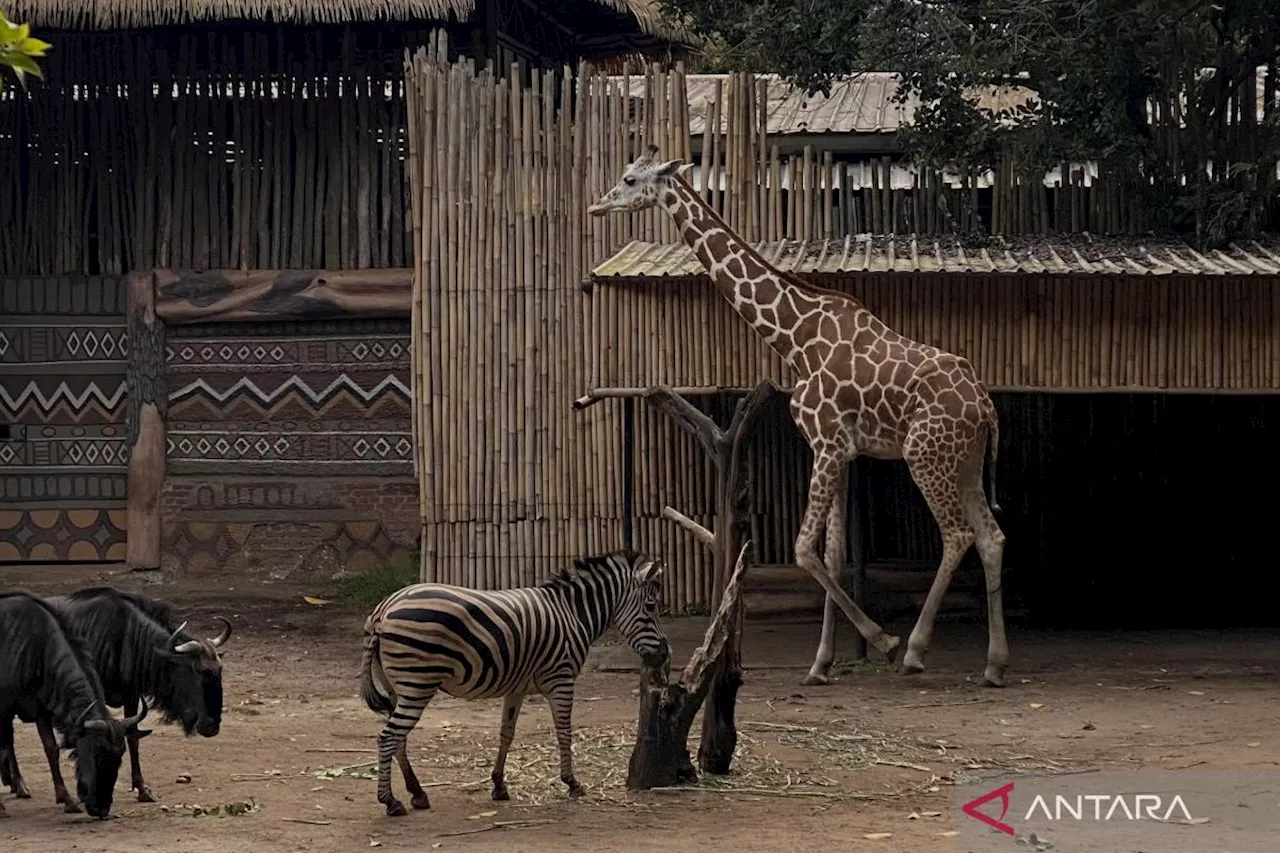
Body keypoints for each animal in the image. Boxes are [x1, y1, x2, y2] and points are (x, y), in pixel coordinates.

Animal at [353, 548, 665, 814]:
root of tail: (383, 609)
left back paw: (417, 793)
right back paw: (390, 802)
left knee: (399, 739)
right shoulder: (562, 679)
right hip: (418, 684)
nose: (664, 653)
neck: (573, 614)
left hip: (400, 687)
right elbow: (564, 732)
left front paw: (499, 785)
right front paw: (572, 783)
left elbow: (507, 733)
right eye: (651, 606)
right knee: (388, 737)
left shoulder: (517, 687)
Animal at [588, 144, 1008, 686]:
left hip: (925, 456)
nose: (597, 205)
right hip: (965, 460)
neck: (794, 338)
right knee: (991, 536)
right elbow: (832, 552)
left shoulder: (827, 444)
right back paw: (995, 664)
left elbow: (805, 548)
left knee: (958, 534)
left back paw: (915, 650)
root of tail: (985, 407)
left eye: (630, 179)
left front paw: (882, 640)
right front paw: (820, 663)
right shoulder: (842, 450)